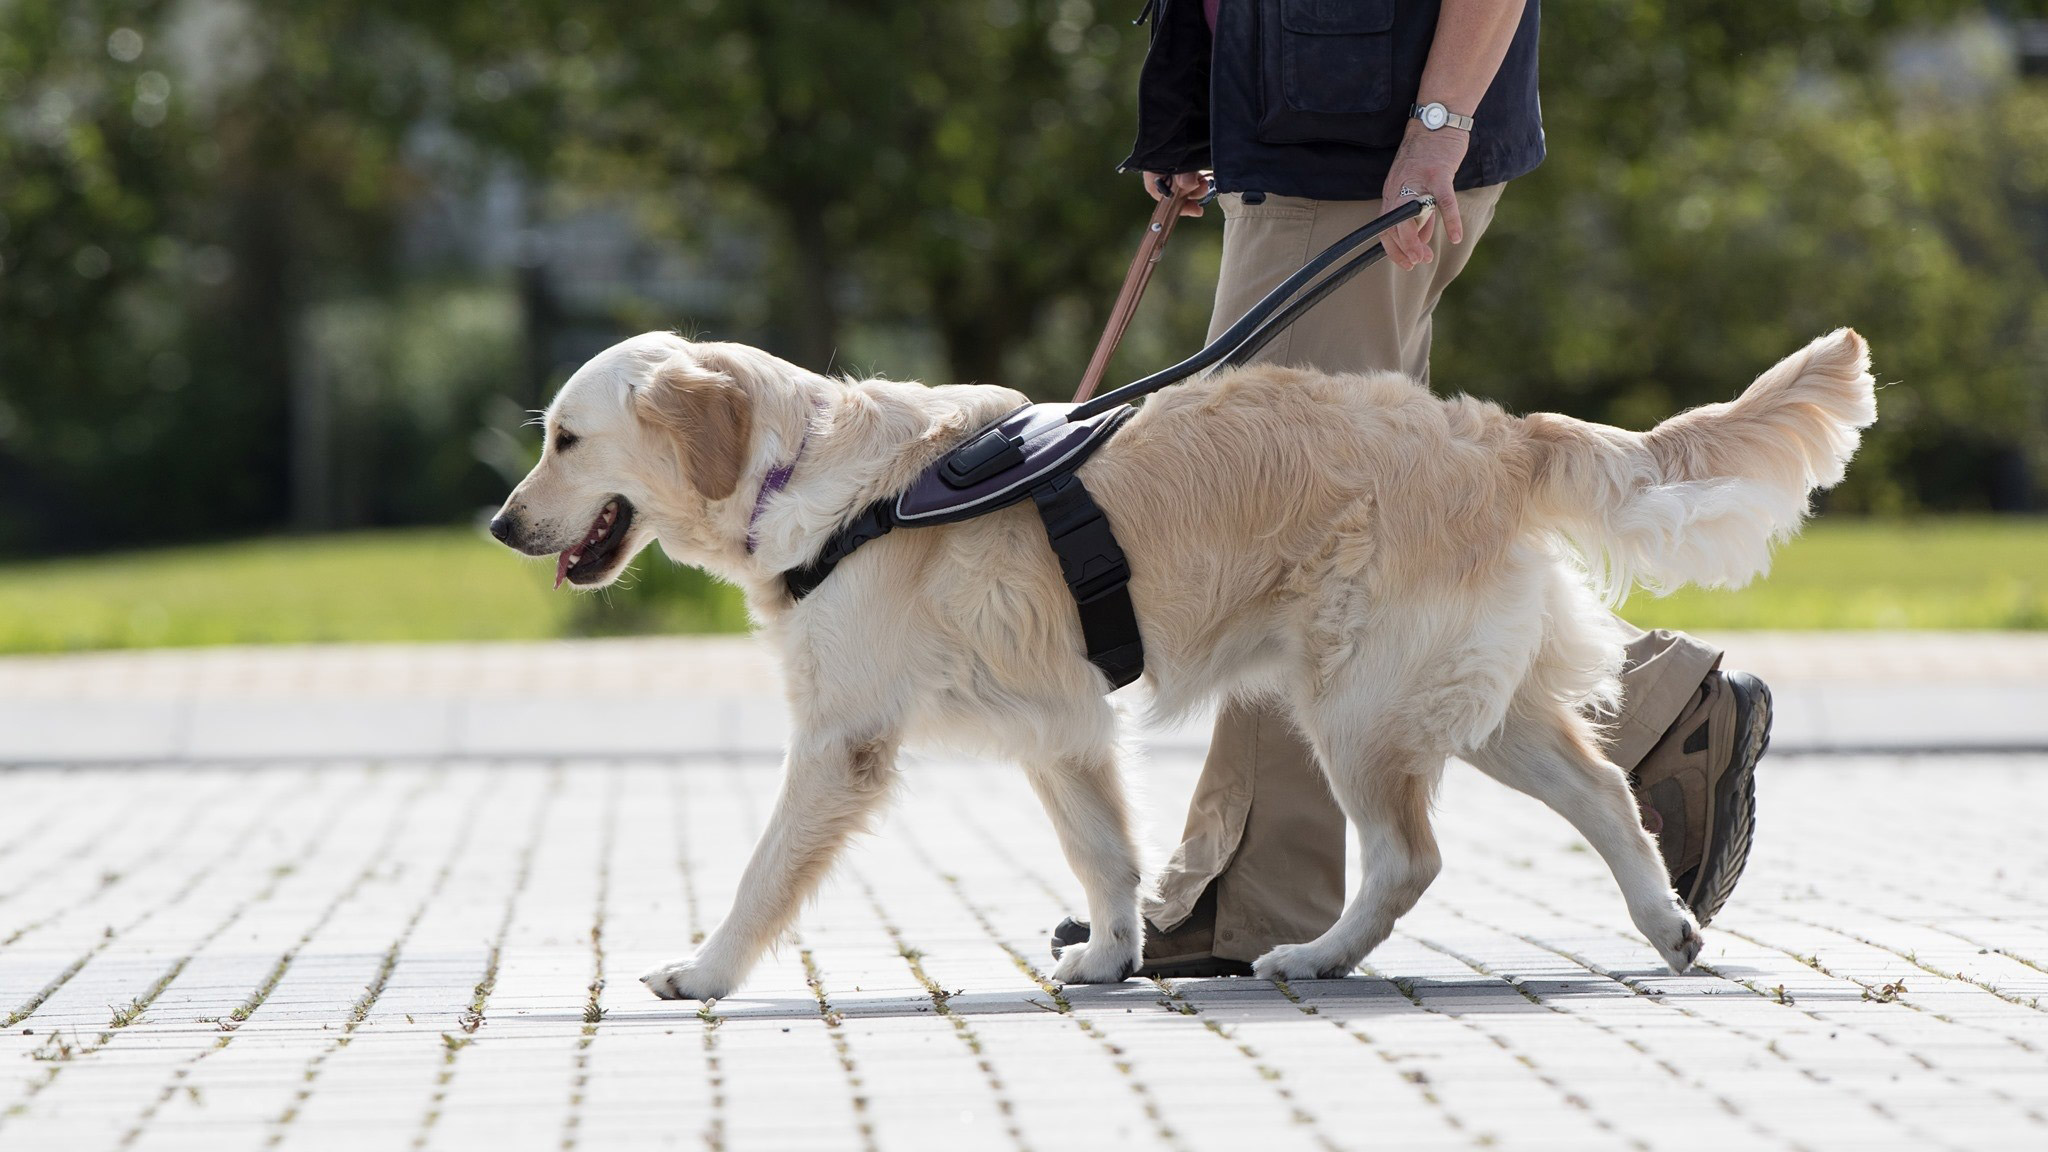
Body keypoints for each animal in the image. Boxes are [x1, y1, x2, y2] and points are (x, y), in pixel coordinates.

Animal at [491, 325, 1875, 996]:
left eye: (564, 439)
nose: (501, 528)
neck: (813, 481)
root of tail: (1488, 433)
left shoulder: (842, 738)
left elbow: (764, 872)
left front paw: (701, 970)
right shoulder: (1060, 731)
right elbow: (1106, 856)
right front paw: (1110, 957)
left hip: (1356, 702)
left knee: (1408, 857)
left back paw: (1313, 959)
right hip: (1470, 703)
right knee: (1601, 795)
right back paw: (1669, 925)